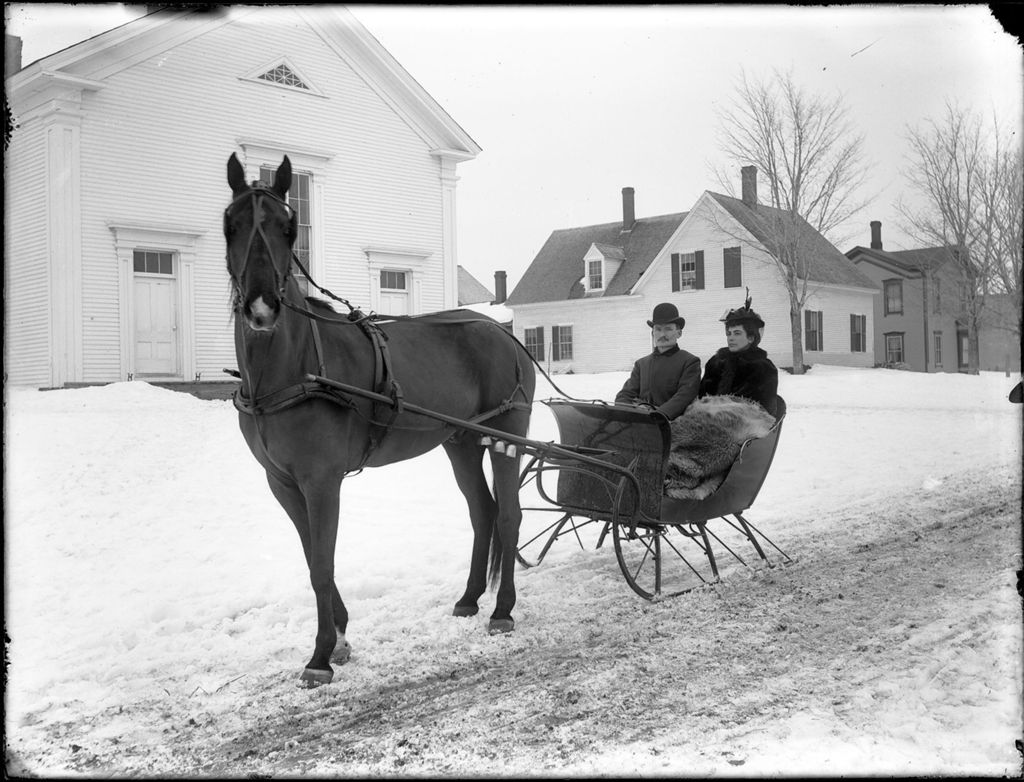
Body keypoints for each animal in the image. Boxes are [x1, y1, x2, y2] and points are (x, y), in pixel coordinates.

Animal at [223, 153, 536, 686]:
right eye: (231, 224)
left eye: (288, 228)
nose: (262, 307)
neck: (295, 368)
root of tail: (503, 332)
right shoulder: (282, 482)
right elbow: (312, 556)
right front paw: (341, 636)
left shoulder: (322, 481)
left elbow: (321, 564)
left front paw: (321, 654)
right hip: (461, 441)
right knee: (483, 512)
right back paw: (471, 598)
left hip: (506, 435)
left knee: (510, 515)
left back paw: (502, 609)